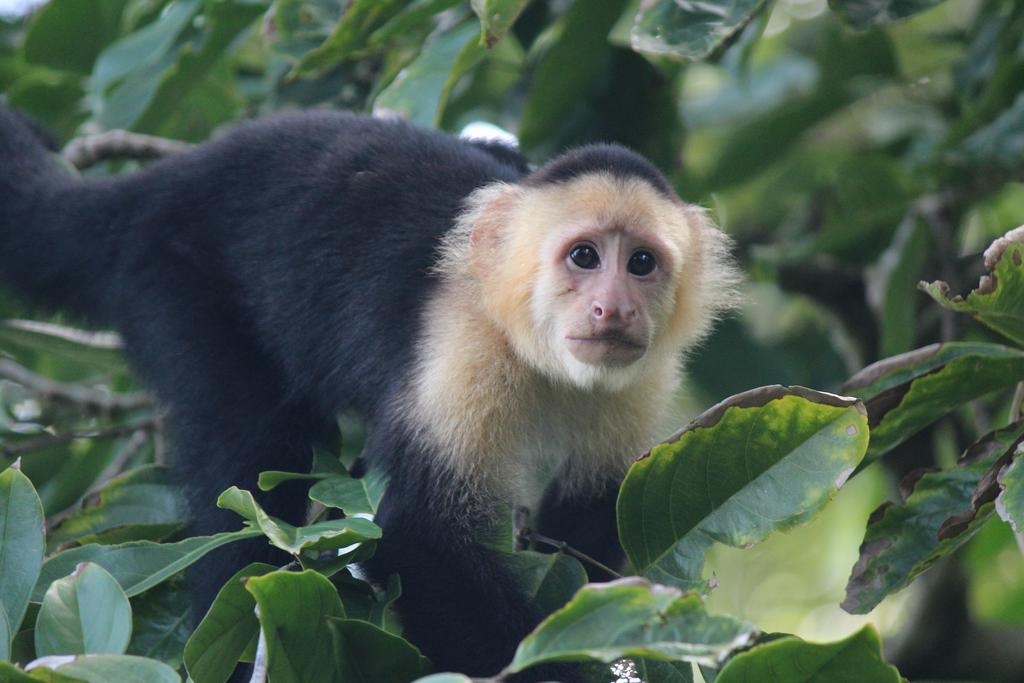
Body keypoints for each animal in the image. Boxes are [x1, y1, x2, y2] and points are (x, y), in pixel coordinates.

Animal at [0, 104, 737, 679]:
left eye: (641, 263)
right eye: (584, 257)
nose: (613, 310)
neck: (536, 353)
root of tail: (164, 185)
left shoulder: (642, 380)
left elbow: (589, 521)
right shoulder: (461, 348)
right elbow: (418, 536)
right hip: (173, 278)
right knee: (252, 454)